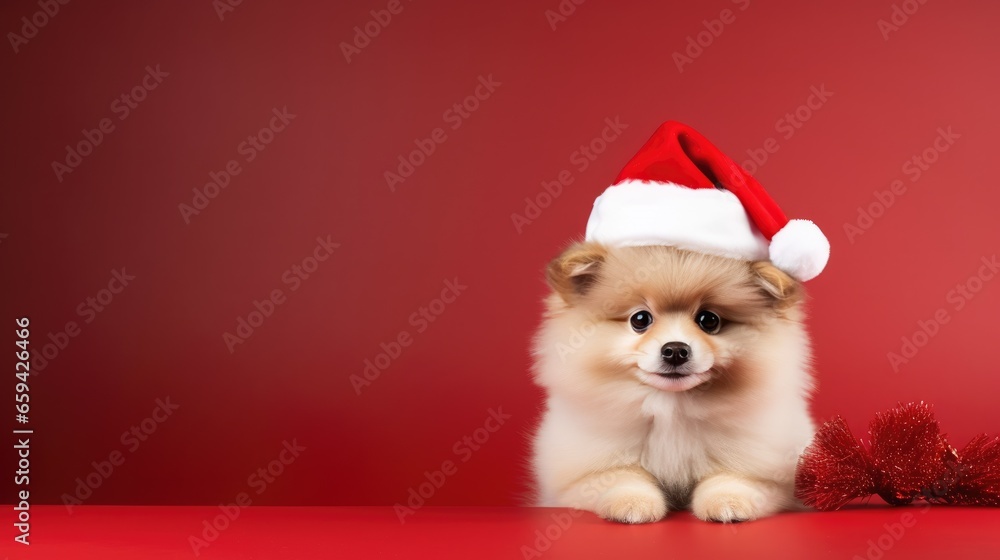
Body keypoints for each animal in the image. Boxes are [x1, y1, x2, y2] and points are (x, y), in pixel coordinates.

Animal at [532, 243, 812, 524]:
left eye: (709, 320)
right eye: (640, 319)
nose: (676, 350)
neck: (671, 409)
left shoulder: (768, 475)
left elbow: (732, 478)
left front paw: (728, 502)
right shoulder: (581, 477)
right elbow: (621, 477)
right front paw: (633, 504)